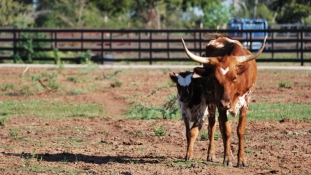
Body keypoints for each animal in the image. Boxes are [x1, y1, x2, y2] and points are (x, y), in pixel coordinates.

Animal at [183, 33, 268, 167]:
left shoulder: (246, 103)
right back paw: (211, 155)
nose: (225, 103)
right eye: (215, 79)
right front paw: (227, 159)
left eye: (234, 78)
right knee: (212, 125)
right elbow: (227, 131)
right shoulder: (220, 105)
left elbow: (240, 130)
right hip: (212, 102)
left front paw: (241, 160)